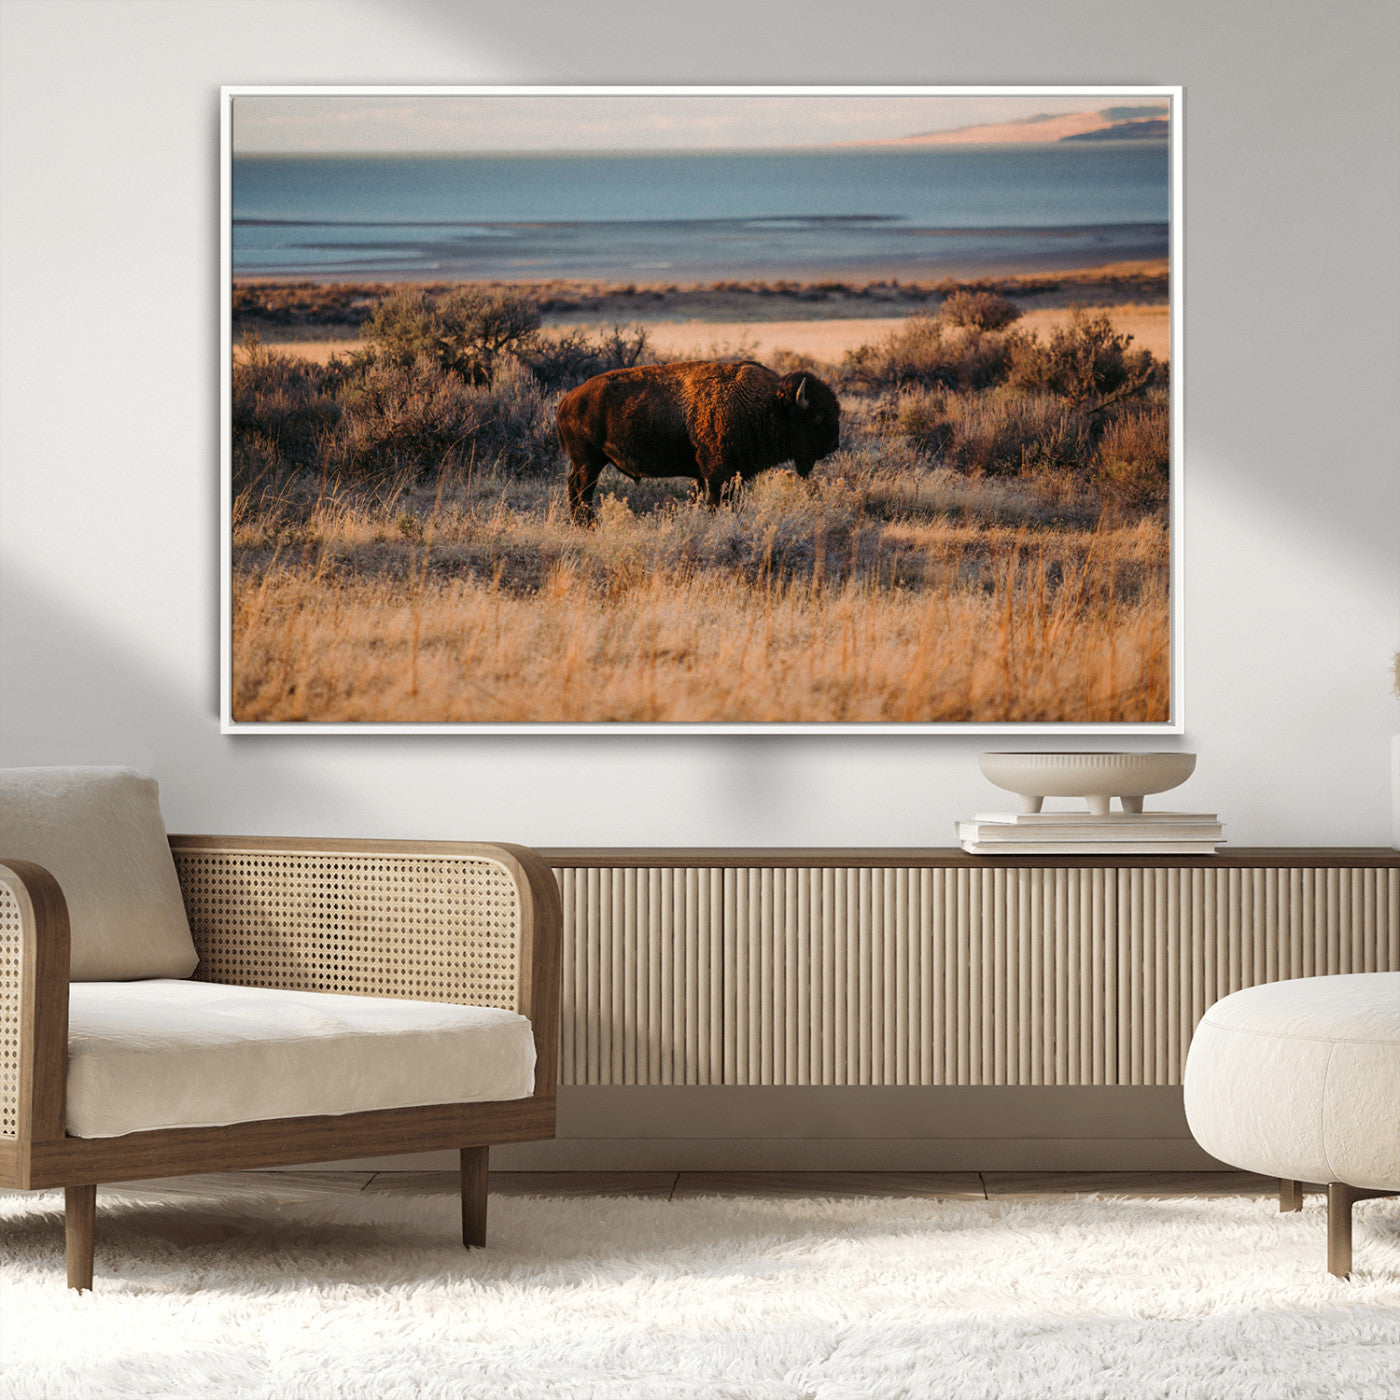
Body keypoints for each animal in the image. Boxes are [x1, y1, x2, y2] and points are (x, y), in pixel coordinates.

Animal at [556, 359, 840, 524]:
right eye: (818, 416)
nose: (834, 444)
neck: (766, 404)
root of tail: (566, 400)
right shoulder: (718, 473)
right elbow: (717, 502)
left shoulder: (716, 475)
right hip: (588, 461)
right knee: (581, 490)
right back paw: (588, 525)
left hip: (588, 462)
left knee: (576, 488)